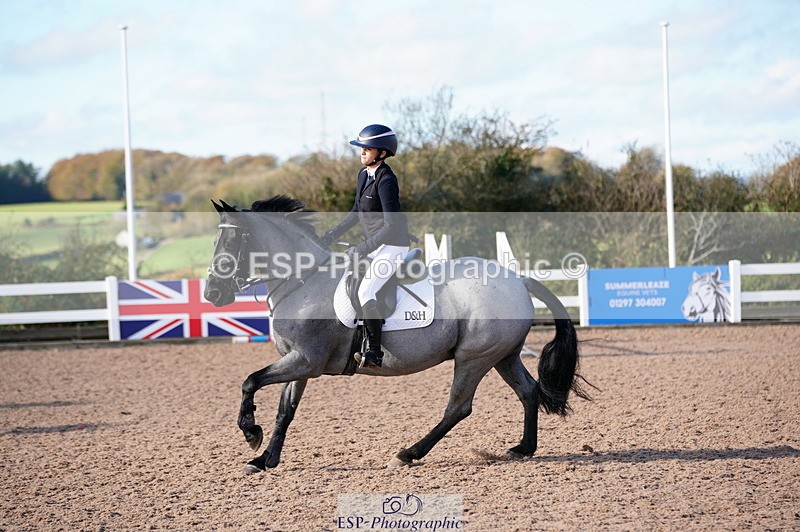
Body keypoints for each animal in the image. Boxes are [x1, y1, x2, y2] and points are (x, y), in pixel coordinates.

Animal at [204, 196, 589, 473]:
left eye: (233, 239)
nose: (212, 293)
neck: (303, 279)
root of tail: (517, 279)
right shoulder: (297, 362)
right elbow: (285, 411)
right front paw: (264, 459)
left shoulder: (306, 361)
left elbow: (250, 381)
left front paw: (251, 433)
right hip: (503, 355)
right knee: (528, 391)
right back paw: (523, 449)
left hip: (474, 357)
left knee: (458, 408)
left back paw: (408, 454)